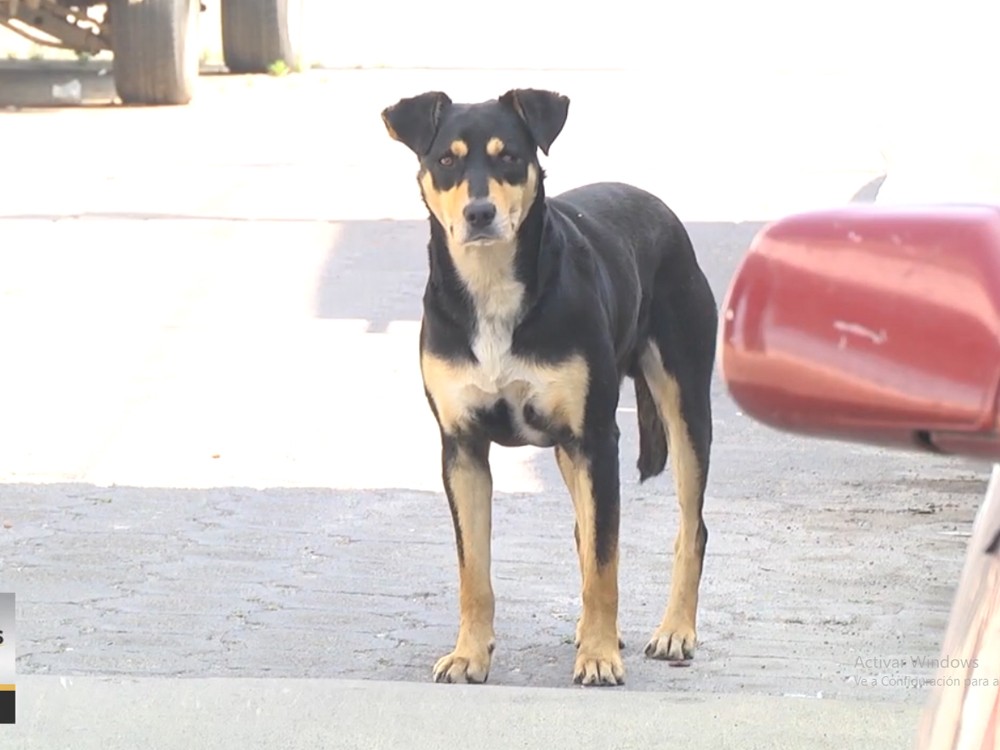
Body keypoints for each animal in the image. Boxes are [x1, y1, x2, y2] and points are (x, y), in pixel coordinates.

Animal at [378, 88, 716, 688]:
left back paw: (675, 630)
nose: (479, 213)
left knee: (689, 527)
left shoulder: (598, 439)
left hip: (685, 406)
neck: (492, 291)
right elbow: (474, 570)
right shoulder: (461, 448)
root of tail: (660, 210)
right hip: (566, 449)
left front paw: (600, 657)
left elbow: (606, 562)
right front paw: (469, 654)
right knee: (586, 532)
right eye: (446, 160)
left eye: (510, 156)